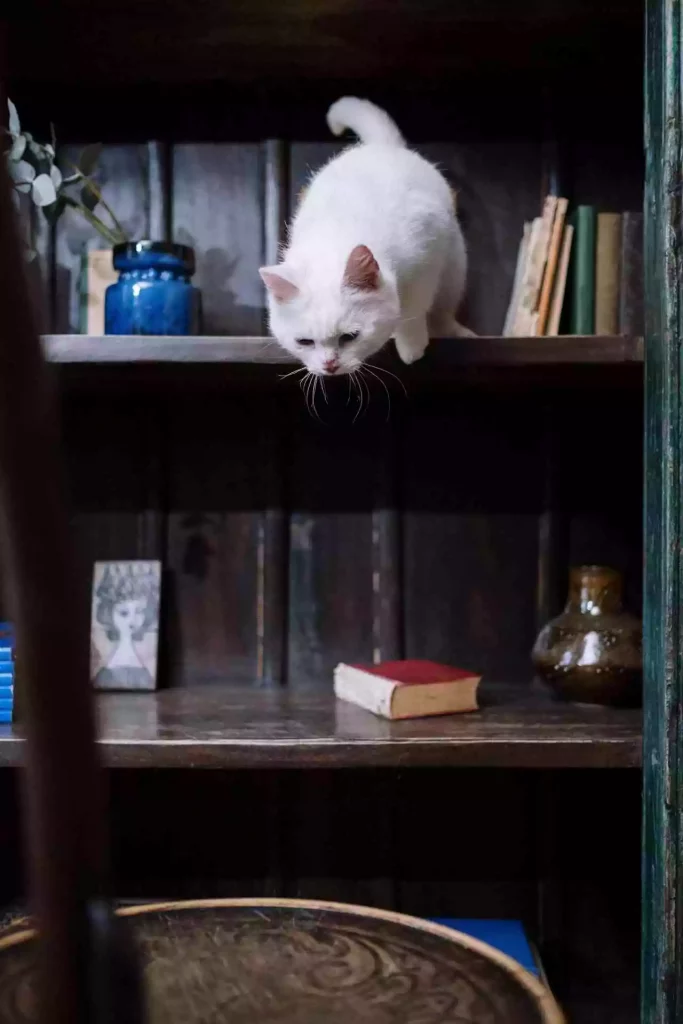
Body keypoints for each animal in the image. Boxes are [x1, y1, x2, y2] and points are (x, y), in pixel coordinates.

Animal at [259, 95, 473, 376]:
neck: (335, 234)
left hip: (454, 266)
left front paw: (411, 345)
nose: (329, 366)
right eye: (304, 342)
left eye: (350, 337)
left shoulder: (427, 259)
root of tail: (383, 145)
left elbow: (415, 306)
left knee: (443, 311)